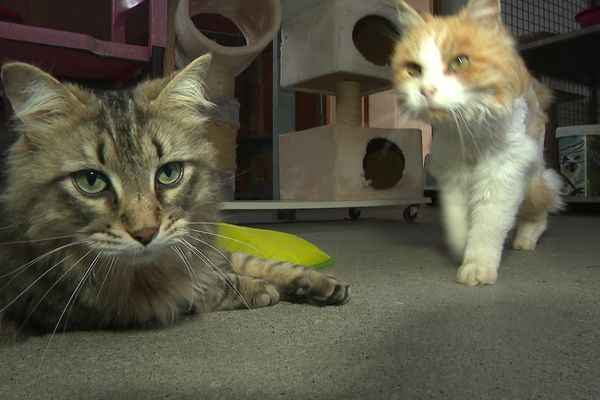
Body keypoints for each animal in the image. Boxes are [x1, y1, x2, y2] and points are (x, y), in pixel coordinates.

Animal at [0, 55, 350, 344]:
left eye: (168, 173)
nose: (145, 233)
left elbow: (257, 262)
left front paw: (316, 281)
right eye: (91, 181)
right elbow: (215, 286)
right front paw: (261, 289)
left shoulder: (199, 248)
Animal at [392, 0, 564, 286]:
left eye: (459, 62)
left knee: (543, 201)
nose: (426, 91)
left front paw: (477, 267)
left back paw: (525, 240)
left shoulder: (501, 172)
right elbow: (458, 223)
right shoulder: (453, 173)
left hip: (531, 174)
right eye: (414, 70)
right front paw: (461, 249)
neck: (469, 132)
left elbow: (487, 225)